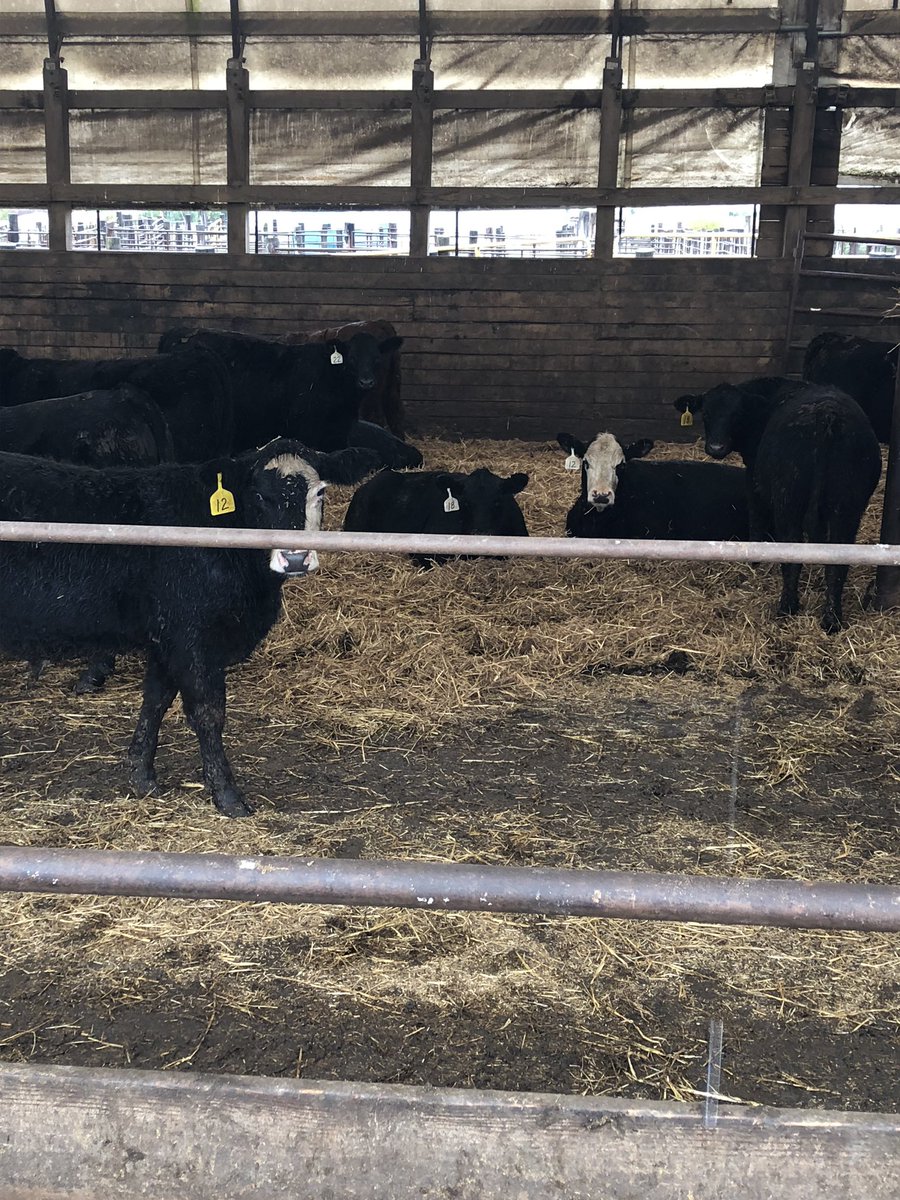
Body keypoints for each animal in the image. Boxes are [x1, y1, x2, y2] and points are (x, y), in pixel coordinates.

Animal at [0, 439, 380, 816]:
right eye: (259, 495)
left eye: (320, 492)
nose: (296, 558)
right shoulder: (193, 639)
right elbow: (208, 713)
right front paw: (228, 796)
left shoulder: (166, 639)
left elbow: (155, 701)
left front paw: (141, 776)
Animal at [677, 378, 881, 633]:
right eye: (706, 413)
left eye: (737, 414)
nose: (716, 448)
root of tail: (827, 415)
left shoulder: (754, 479)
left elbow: (756, 517)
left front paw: (754, 560)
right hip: (846, 506)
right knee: (838, 561)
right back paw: (832, 619)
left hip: (788, 502)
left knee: (792, 553)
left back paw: (787, 607)